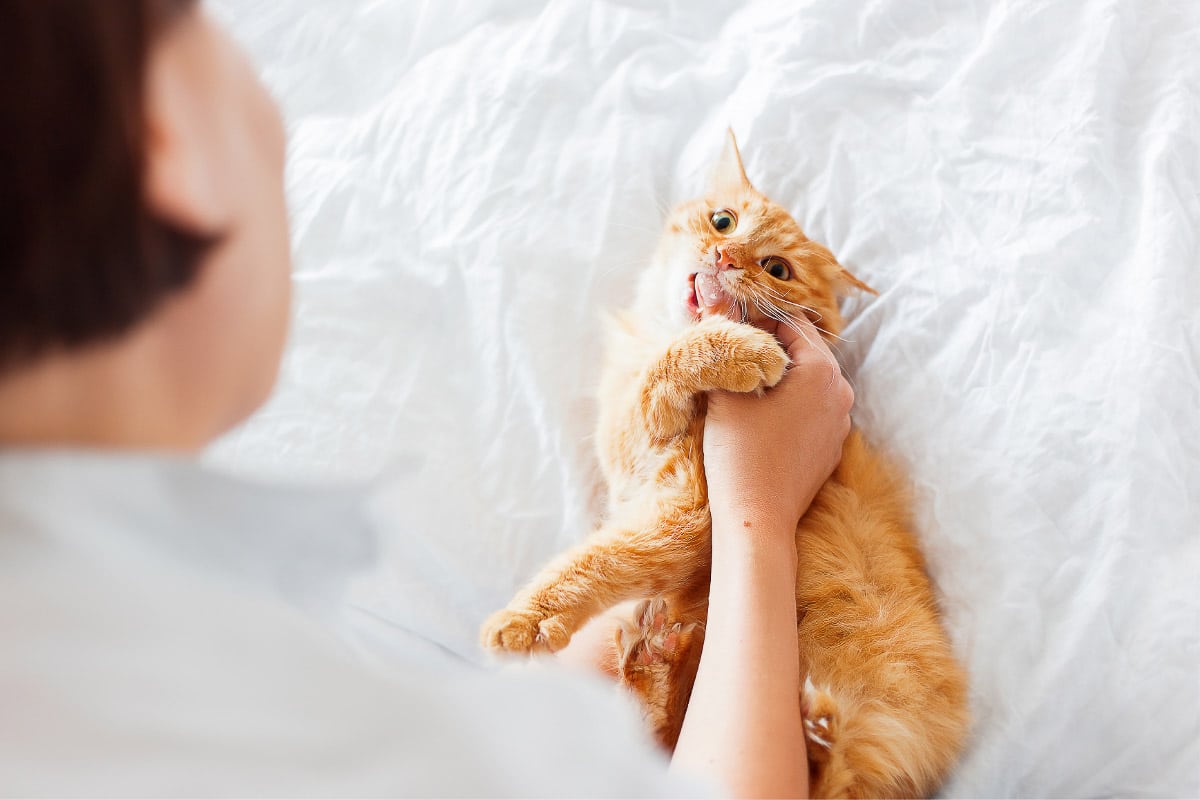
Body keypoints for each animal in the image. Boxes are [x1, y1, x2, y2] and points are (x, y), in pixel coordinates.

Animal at [482, 133, 969, 800]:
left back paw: (811, 730)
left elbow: (590, 564)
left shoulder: (686, 512)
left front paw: (522, 622)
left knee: (830, 772)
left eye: (776, 269)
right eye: (723, 221)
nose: (723, 253)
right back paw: (656, 659)